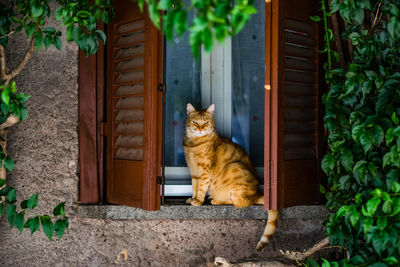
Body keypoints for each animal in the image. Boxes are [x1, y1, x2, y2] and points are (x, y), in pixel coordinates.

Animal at [184, 103, 278, 251]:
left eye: (206, 122)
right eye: (195, 122)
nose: (200, 129)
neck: (193, 144)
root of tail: (257, 193)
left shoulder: (204, 173)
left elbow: (201, 189)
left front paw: (198, 201)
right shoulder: (193, 171)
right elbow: (194, 187)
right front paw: (192, 198)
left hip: (234, 168)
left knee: (240, 203)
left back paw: (217, 201)